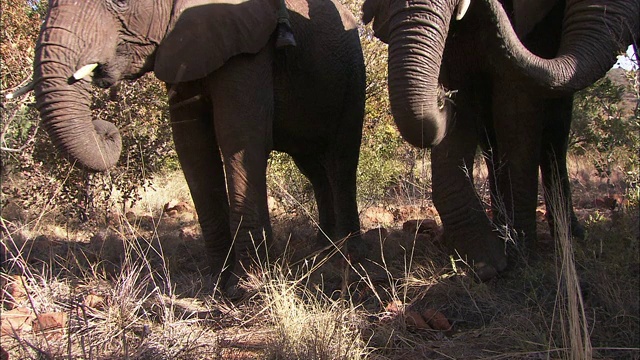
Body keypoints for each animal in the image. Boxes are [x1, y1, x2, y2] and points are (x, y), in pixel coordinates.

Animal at [32, 0, 364, 296]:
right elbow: (192, 146)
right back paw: (323, 249)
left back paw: (348, 256)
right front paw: (217, 283)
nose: (106, 130)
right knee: (314, 168)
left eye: (121, 1)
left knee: (341, 163)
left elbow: (239, 137)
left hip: (352, 74)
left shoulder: (249, 49)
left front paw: (248, 286)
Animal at [362, 0, 636, 280]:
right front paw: (486, 261)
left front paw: (520, 257)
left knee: (555, 125)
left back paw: (568, 237)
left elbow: (516, 101)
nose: (444, 100)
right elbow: (459, 77)